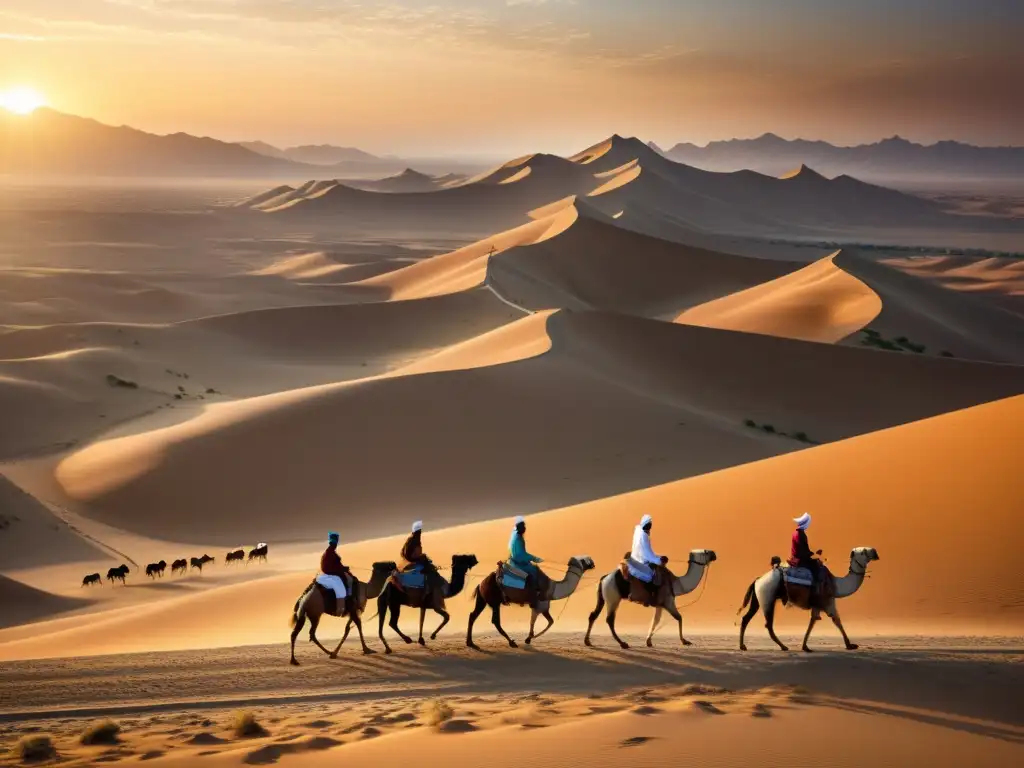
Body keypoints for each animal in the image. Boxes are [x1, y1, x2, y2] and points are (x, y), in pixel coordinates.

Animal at [468, 557, 598, 651]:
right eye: (583, 560)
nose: (592, 562)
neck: (553, 589)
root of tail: (480, 584)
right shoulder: (539, 605)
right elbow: (537, 621)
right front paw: (529, 638)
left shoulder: (543, 608)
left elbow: (549, 621)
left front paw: (530, 638)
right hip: (494, 600)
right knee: (495, 621)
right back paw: (511, 642)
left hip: (483, 599)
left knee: (473, 615)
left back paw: (471, 643)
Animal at [585, 548, 720, 651]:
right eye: (706, 552)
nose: (714, 554)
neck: (676, 583)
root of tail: (604, 578)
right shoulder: (668, 601)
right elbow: (679, 617)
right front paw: (684, 641)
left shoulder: (659, 604)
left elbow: (656, 620)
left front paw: (648, 641)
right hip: (613, 597)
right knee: (609, 619)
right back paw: (623, 644)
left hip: (603, 597)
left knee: (593, 615)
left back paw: (588, 641)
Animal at [737, 548, 880, 651]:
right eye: (863, 552)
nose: (875, 552)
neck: (835, 584)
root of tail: (757, 580)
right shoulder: (827, 602)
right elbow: (834, 620)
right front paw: (850, 645)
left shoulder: (819, 605)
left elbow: (816, 621)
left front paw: (805, 646)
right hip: (768, 597)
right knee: (768, 624)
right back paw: (783, 646)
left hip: (758, 599)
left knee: (746, 618)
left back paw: (743, 646)